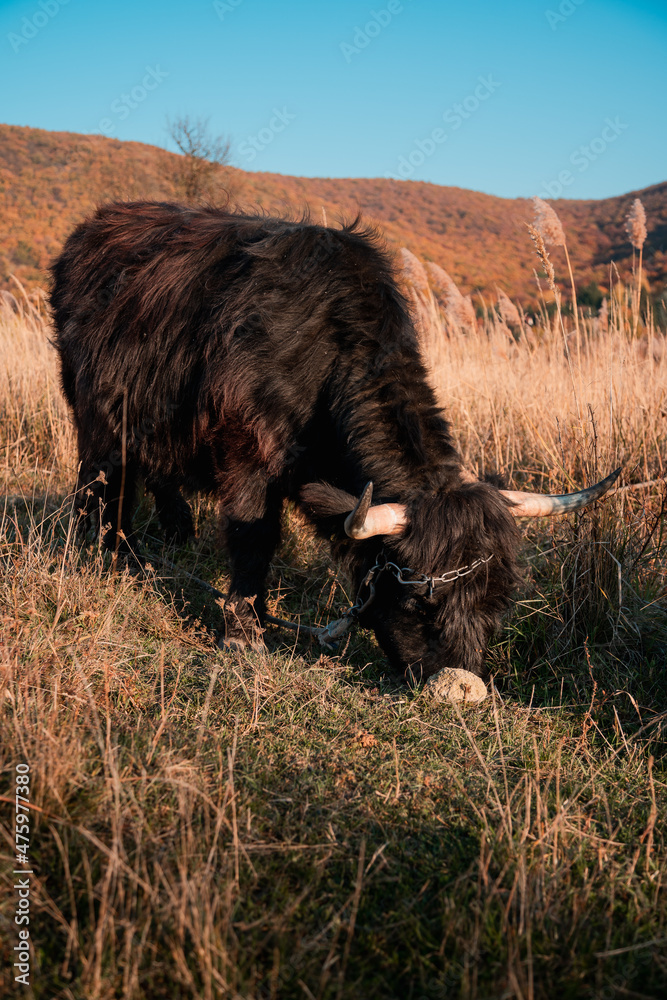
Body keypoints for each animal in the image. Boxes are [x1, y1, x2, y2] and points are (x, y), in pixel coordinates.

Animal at [49, 204, 620, 688]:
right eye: (420, 602)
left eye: (495, 602)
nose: (462, 690)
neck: (325, 353)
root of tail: (95, 227)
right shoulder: (249, 458)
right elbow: (254, 538)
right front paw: (244, 633)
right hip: (93, 411)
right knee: (102, 480)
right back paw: (104, 553)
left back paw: (169, 536)